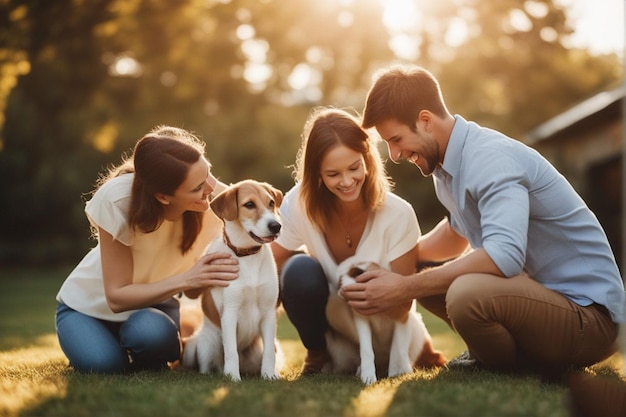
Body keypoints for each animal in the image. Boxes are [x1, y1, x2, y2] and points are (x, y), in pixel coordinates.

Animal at [182, 179, 284, 380]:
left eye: (271, 203)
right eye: (249, 204)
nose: (276, 226)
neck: (248, 256)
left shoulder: (269, 312)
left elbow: (269, 352)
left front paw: (269, 375)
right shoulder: (230, 311)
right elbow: (231, 351)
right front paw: (232, 377)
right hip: (202, 343)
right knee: (207, 364)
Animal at [324, 256, 446, 384]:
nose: (340, 291)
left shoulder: (401, 319)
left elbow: (398, 350)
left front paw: (397, 374)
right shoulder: (362, 320)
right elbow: (367, 350)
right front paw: (368, 375)